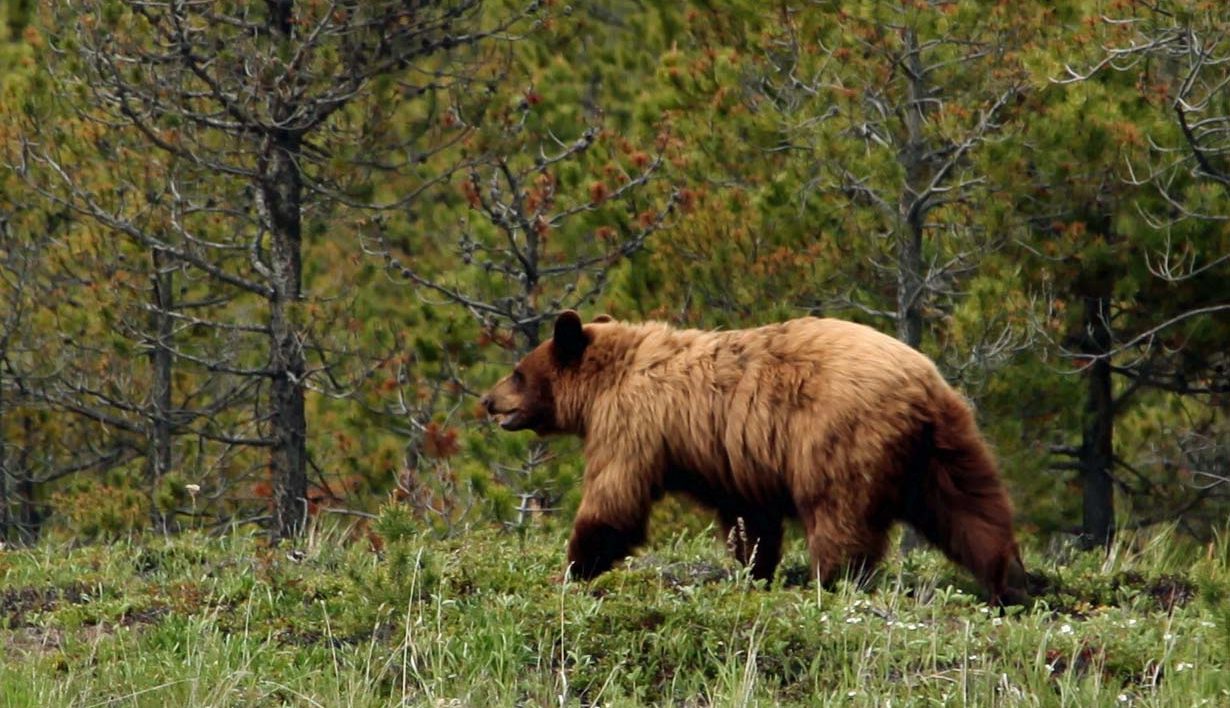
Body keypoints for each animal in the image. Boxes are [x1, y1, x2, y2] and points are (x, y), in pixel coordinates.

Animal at [479, 312, 1028, 604]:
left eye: (518, 372)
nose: (488, 401)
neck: (606, 380)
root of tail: (922, 385)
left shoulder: (632, 423)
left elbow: (615, 499)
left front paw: (573, 568)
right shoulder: (734, 460)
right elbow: (750, 518)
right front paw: (753, 569)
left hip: (841, 437)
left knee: (839, 514)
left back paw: (831, 581)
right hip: (945, 448)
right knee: (974, 512)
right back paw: (1013, 583)